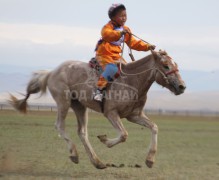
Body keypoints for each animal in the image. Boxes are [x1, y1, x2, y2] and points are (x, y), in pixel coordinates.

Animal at [9, 49, 186, 169]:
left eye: (176, 64)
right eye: (165, 65)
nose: (182, 86)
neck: (131, 80)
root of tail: (51, 72)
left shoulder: (134, 115)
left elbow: (154, 127)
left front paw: (150, 160)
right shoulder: (111, 113)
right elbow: (124, 135)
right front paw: (105, 140)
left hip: (80, 106)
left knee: (82, 132)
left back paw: (97, 162)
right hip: (63, 102)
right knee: (60, 126)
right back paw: (74, 154)